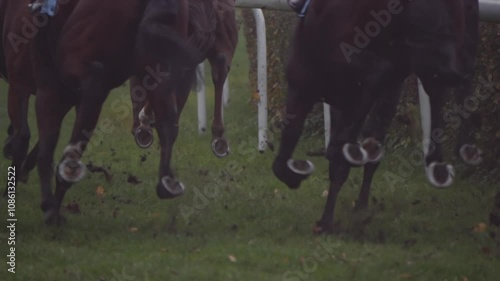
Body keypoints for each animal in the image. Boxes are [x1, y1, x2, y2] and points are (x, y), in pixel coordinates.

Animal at [272, 0, 478, 232]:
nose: (454, 72)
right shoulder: (302, 87)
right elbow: (287, 146)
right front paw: (296, 172)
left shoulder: (365, 94)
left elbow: (341, 154)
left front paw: (326, 221)